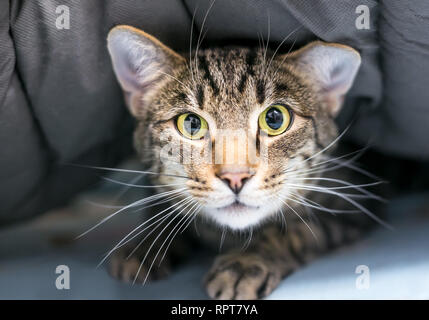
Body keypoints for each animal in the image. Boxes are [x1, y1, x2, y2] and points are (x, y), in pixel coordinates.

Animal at [104, 25, 382, 300]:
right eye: (191, 123)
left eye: (275, 118)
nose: (235, 177)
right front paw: (145, 245)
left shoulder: (349, 210)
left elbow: (292, 230)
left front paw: (245, 262)